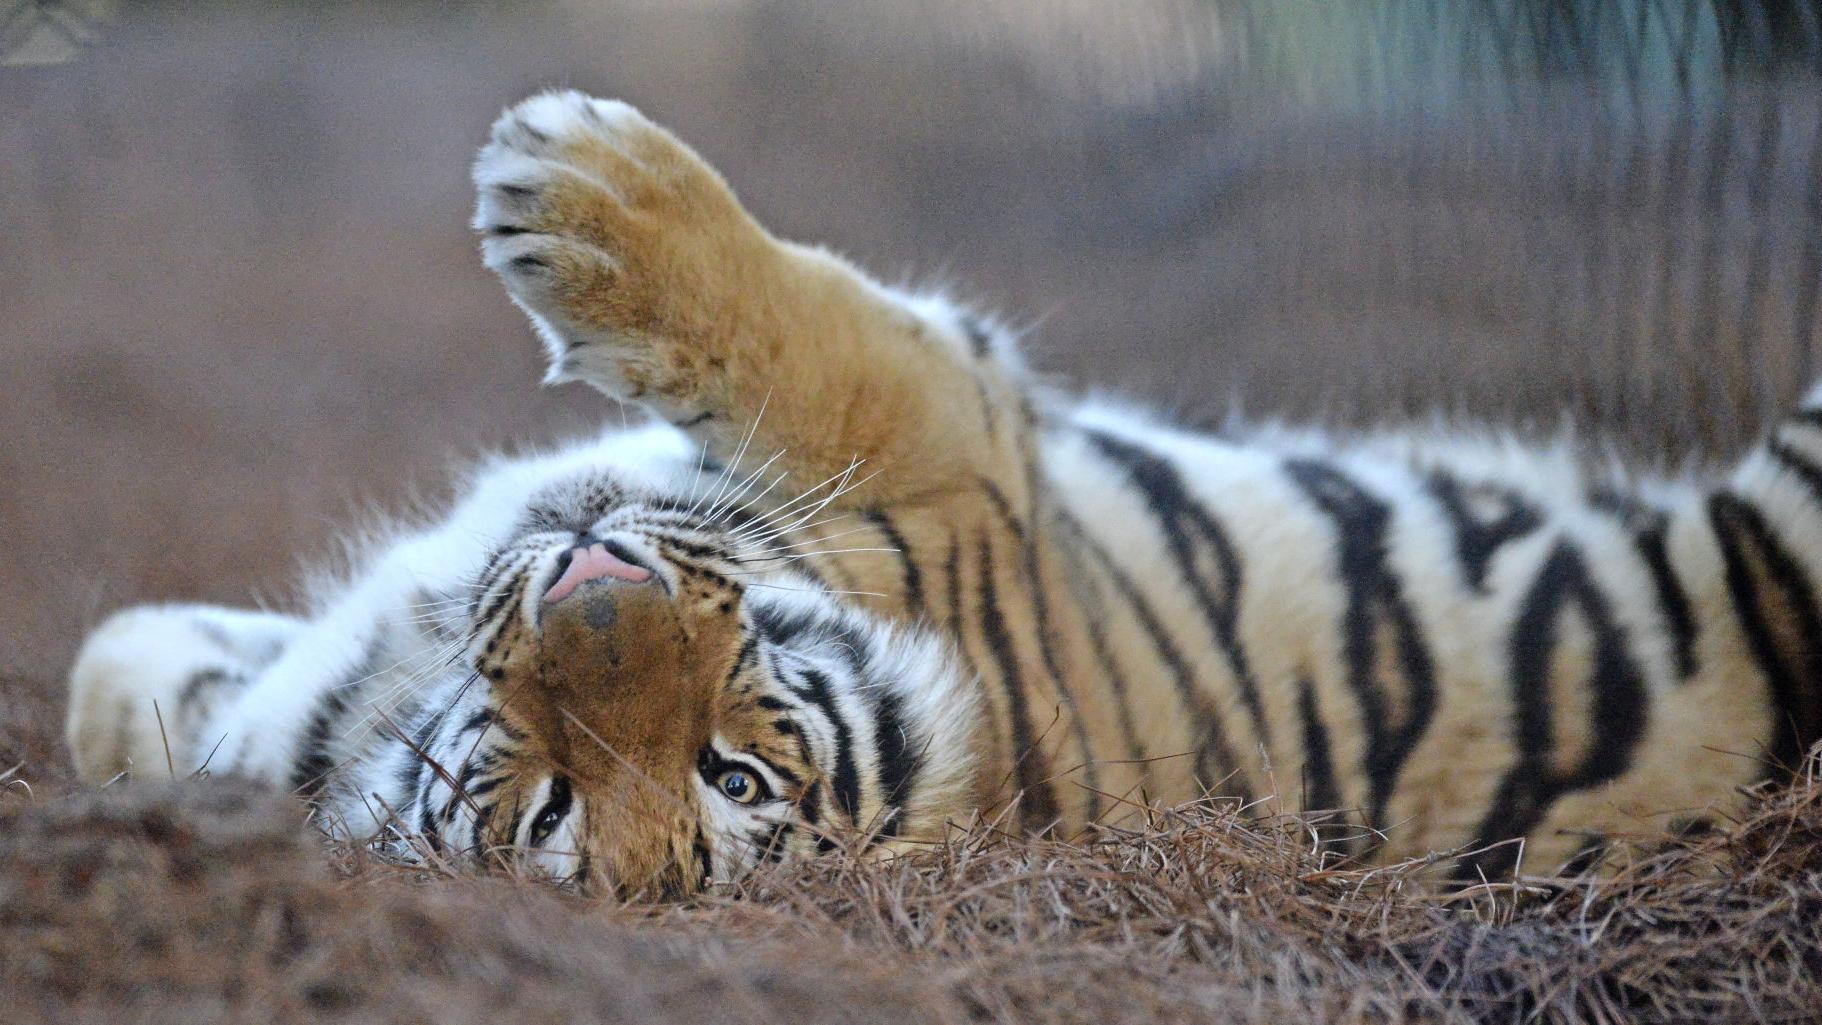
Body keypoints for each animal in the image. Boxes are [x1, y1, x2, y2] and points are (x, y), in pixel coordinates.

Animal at [64, 90, 1822, 897]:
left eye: (732, 776)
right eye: (556, 807)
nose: (594, 589)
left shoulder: (966, 454)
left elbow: (818, 343)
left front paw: (581, 189)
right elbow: (116, 666)